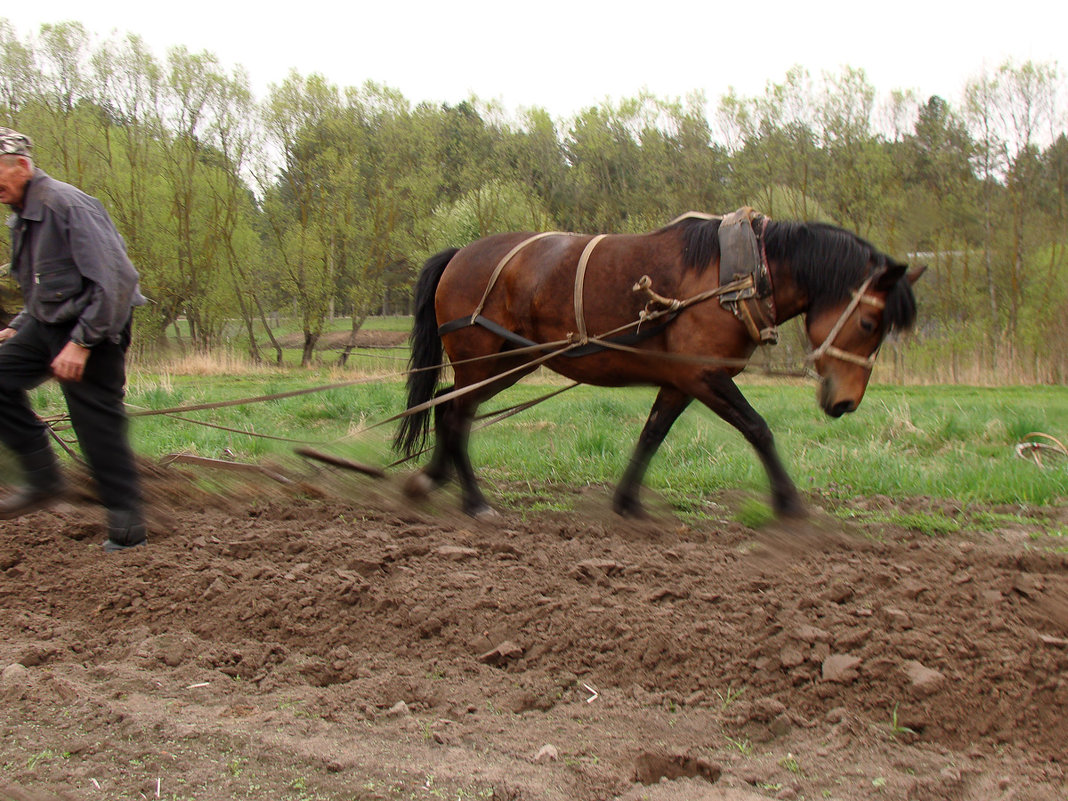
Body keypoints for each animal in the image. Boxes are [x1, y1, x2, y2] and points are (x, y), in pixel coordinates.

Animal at [393, 213, 918, 523]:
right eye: (870, 322)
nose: (846, 401)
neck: (737, 278)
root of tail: (458, 254)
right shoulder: (703, 374)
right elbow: (758, 428)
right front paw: (789, 503)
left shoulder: (681, 380)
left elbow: (652, 434)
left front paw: (627, 502)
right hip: (483, 361)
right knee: (455, 416)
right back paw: (474, 502)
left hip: (506, 363)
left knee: (448, 414)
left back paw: (432, 481)